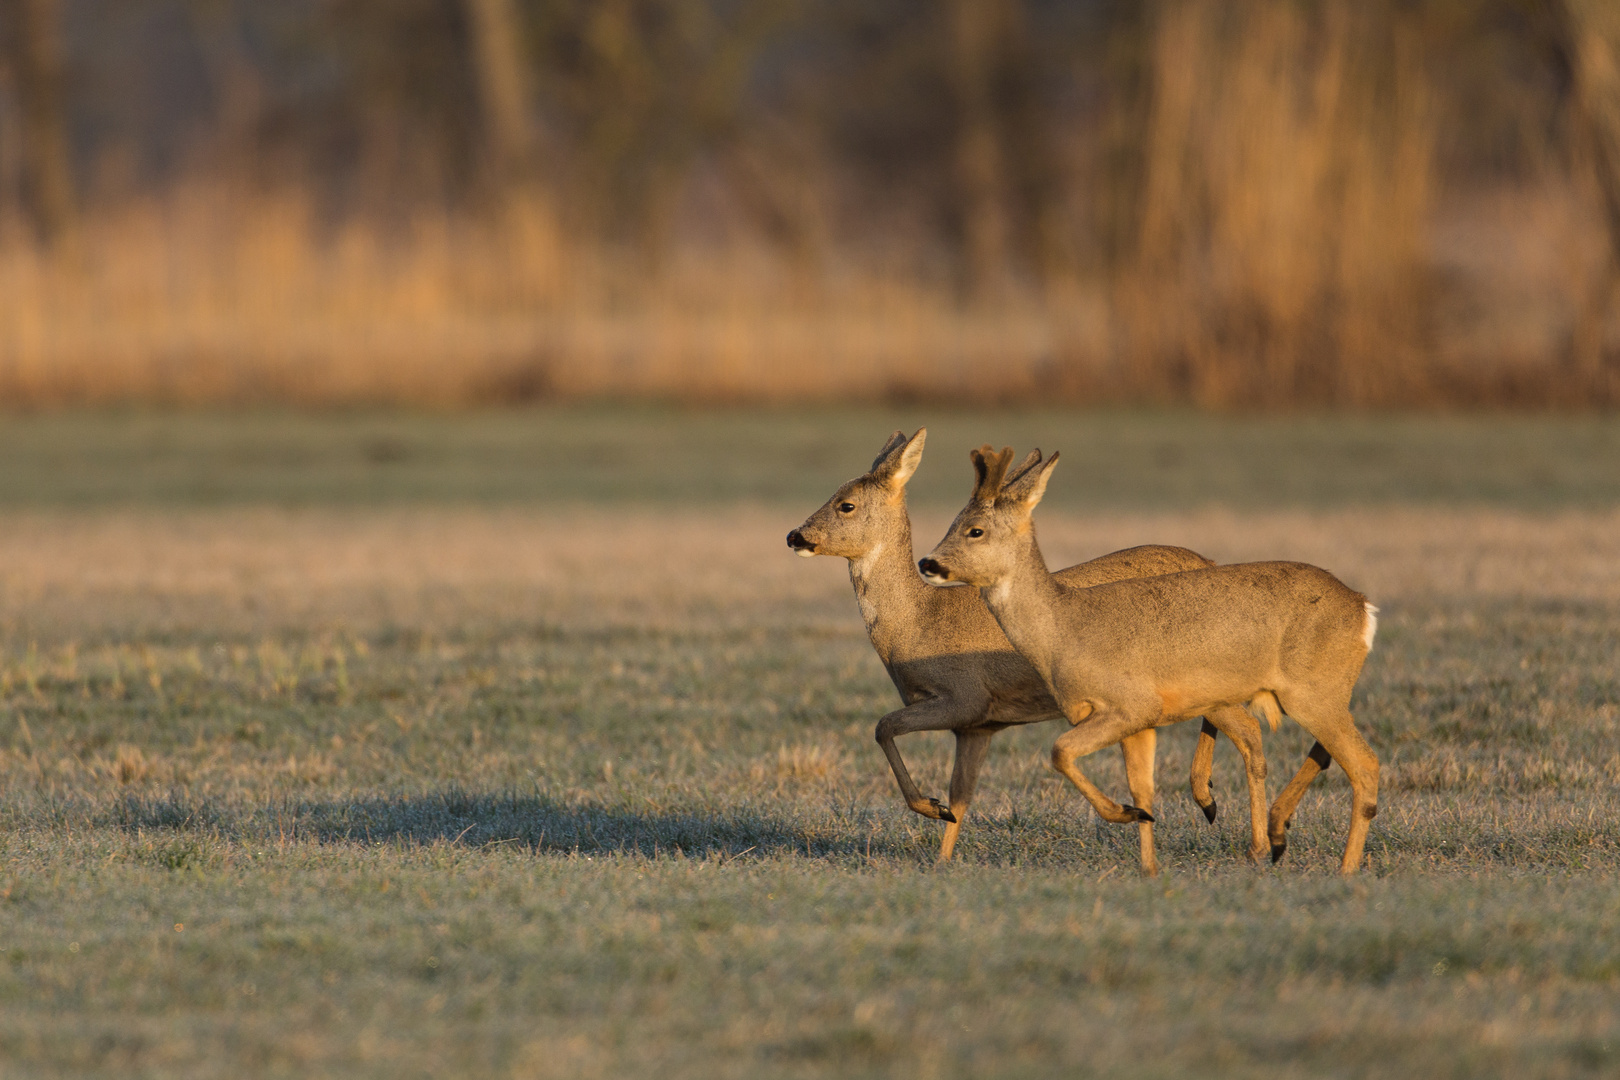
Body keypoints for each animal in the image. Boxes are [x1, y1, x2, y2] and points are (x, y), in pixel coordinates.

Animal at [787, 430, 1276, 867]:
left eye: (846, 504)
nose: (795, 535)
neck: (920, 620)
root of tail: (1209, 561)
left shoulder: (963, 697)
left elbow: (882, 726)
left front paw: (929, 807)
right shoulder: (979, 725)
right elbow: (961, 798)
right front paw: (942, 855)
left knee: (1250, 731)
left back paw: (1251, 841)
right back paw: (1208, 800)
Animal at [926, 446, 1380, 880]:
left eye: (975, 529)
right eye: (954, 521)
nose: (927, 563)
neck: (1065, 628)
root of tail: (1363, 608)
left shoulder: (1130, 705)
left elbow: (1059, 752)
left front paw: (1124, 816)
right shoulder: (1139, 722)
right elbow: (1143, 788)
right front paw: (1148, 862)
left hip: (1312, 693)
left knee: (1364, 765)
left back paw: (1341, 867)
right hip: (1317, 694)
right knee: (1324, 753)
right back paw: (1276, 838)